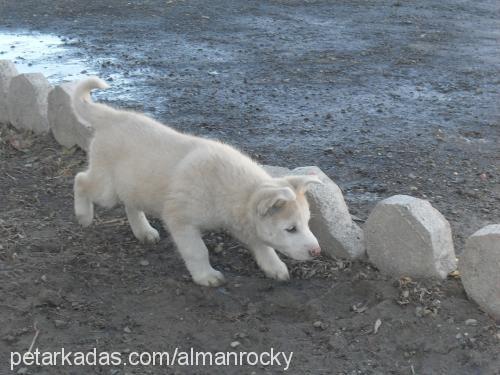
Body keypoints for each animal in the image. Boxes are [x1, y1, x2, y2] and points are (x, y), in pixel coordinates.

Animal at [72, 76, 322, 288]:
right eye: (291, 229)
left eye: (307, 223)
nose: (317, 251)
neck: (230, 189)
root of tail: (112, 116)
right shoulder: (181, 221)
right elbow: (198, 251)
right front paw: (206, 276)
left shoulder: (242, 222)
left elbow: (262, 245)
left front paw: (274, 266)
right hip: (106, 189)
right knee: (80, 180)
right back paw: (83, 215)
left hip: (133, 184)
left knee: (130, 204)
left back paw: (143, 231)